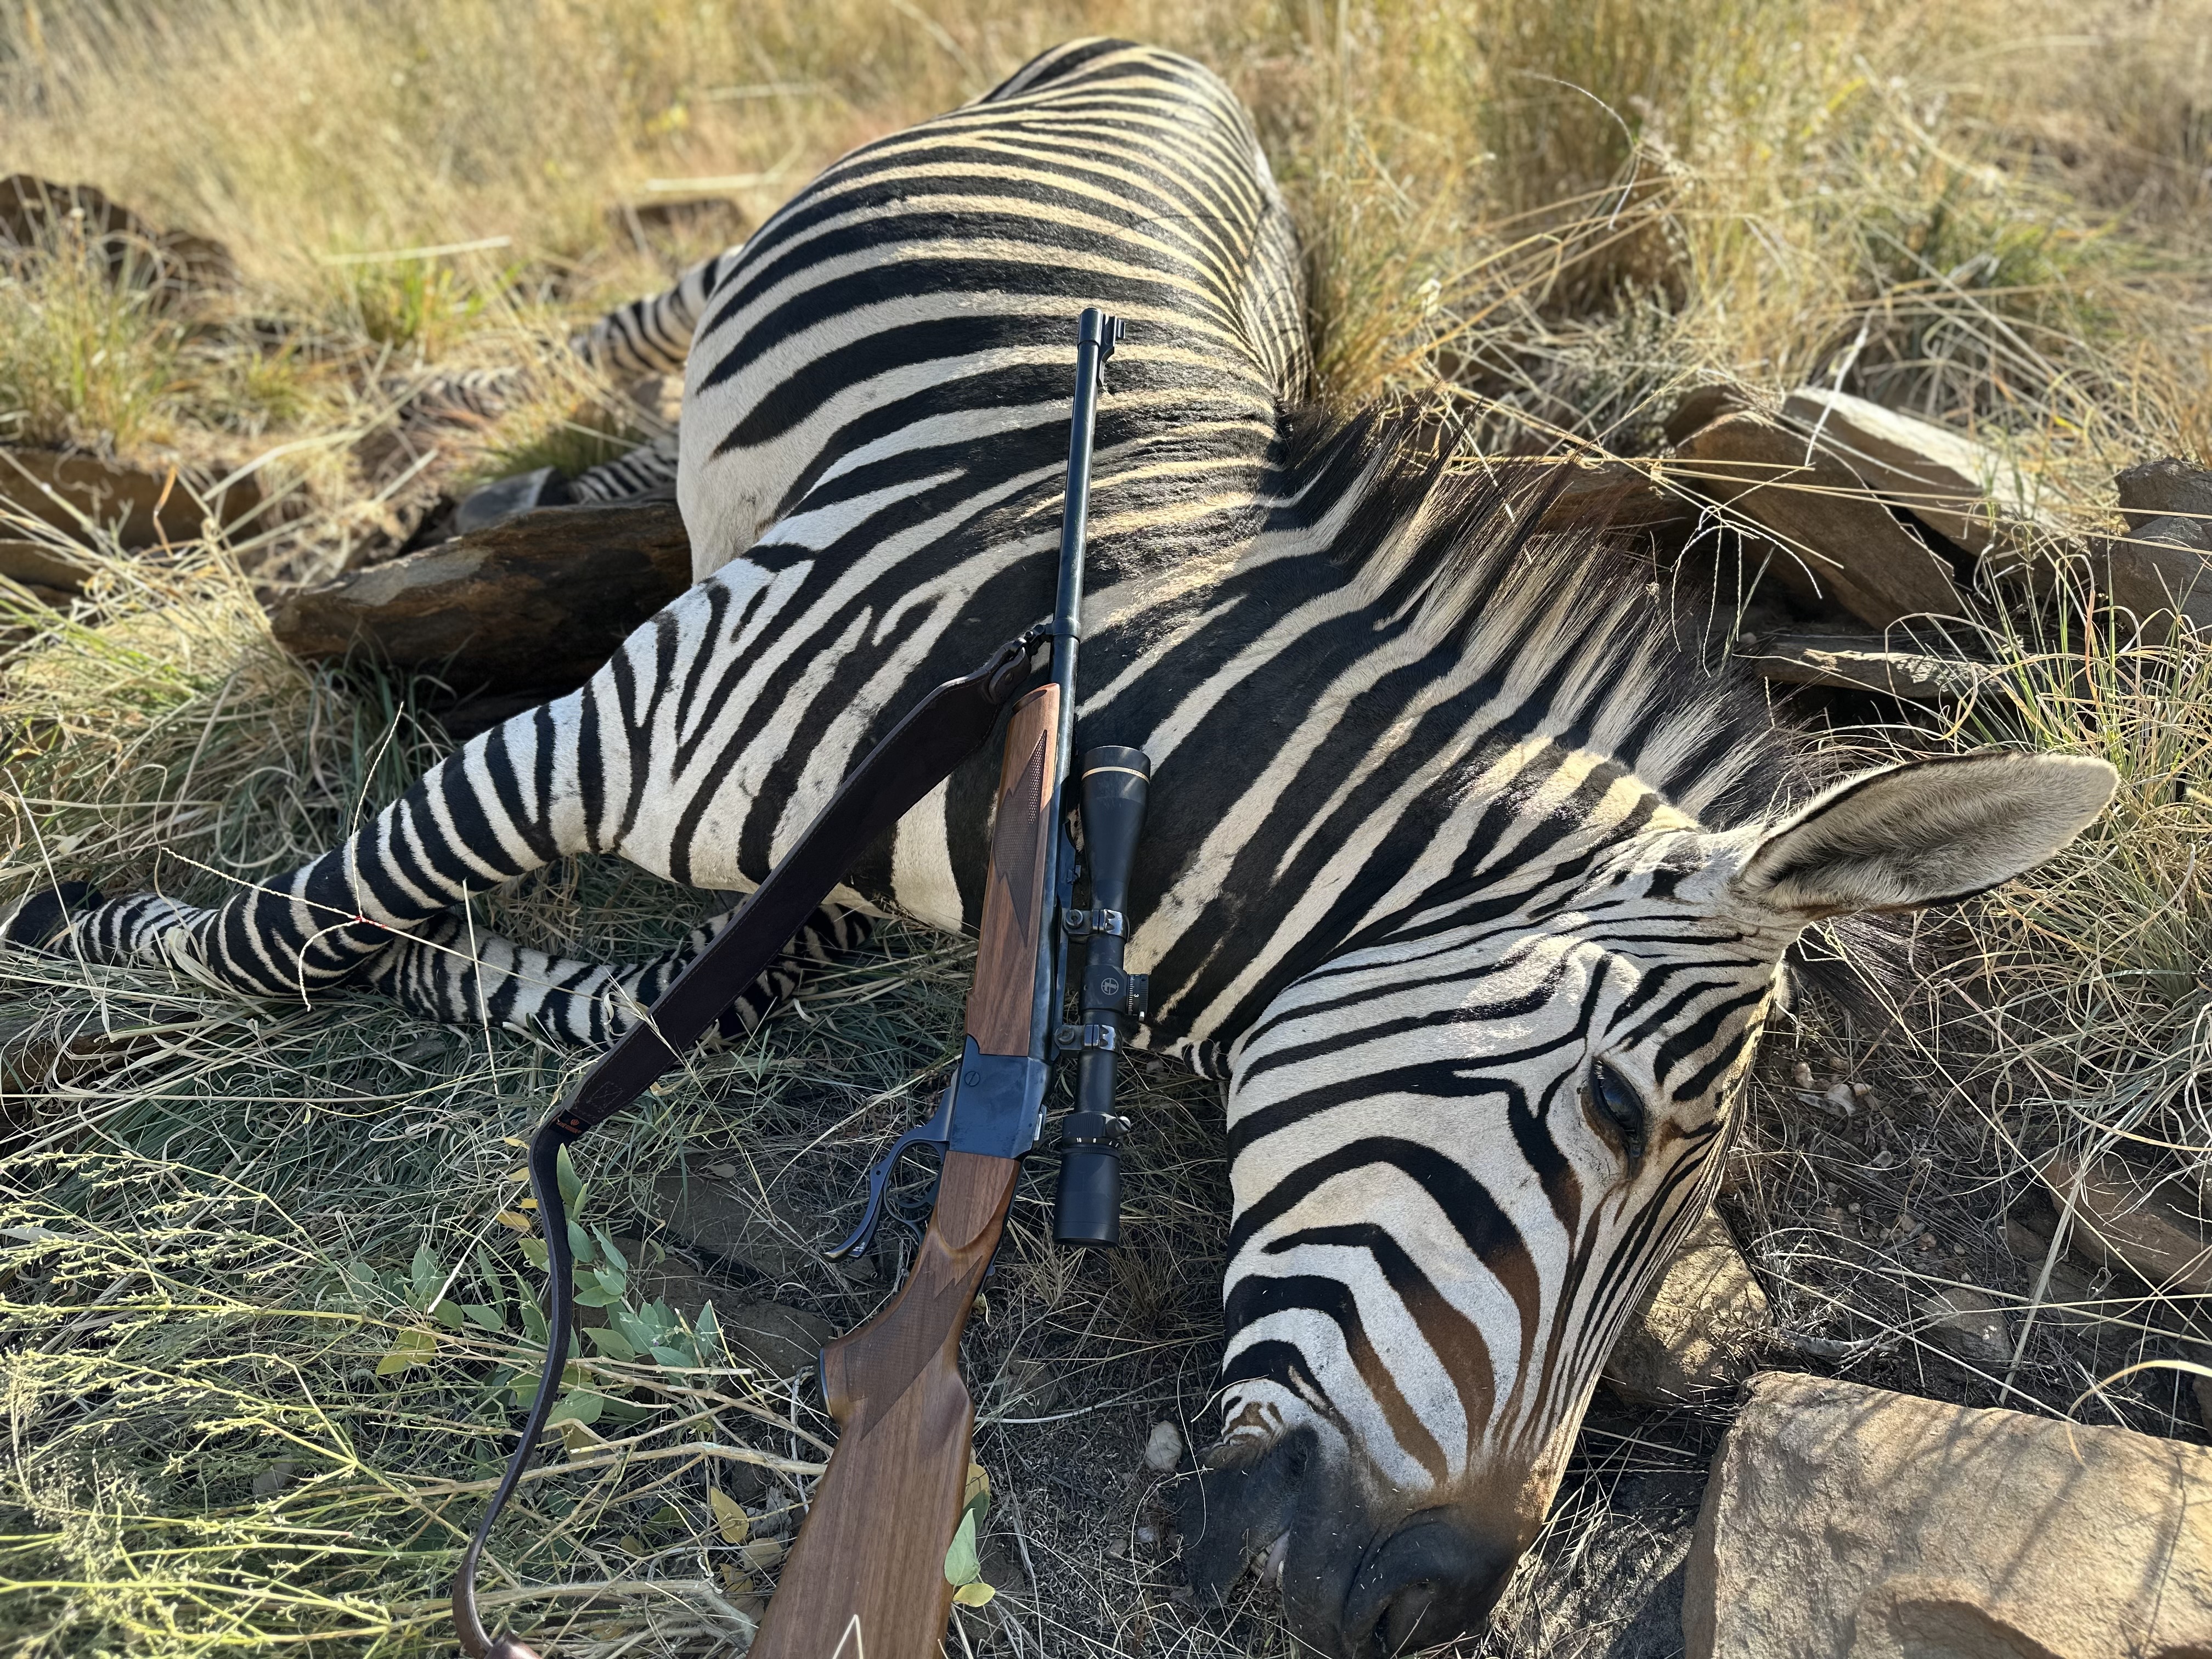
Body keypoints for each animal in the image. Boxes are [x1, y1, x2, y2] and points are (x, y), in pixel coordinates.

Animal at [1, 38, 2112, 1656]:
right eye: (1611, 1119)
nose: (1419, 1615)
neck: (1156, 721)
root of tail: (1184, 60)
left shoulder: (804, 878)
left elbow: (670, 994)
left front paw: (473, 974)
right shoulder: (607, 726)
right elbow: (283, 937)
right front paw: (74, 939)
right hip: (732, 264)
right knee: (598, 339)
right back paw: (446, 469)